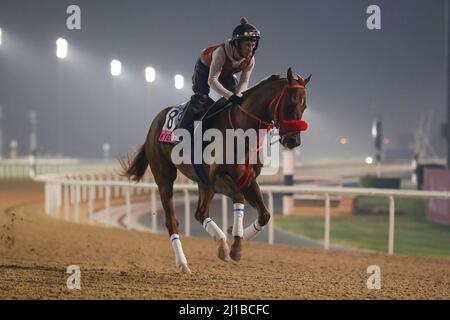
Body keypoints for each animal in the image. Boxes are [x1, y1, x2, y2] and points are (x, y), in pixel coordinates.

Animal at [120, 67, 310, 272]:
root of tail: (155, 121)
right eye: (291, 102)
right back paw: (183, 264)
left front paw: (235, 235)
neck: (242, 132)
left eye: (305, 106)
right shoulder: (219, 179)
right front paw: (236, 244)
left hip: (203, 182)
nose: (293, 141)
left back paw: (221, 244)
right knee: (172, 221)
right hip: (165, 177)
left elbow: (265, 215)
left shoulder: (247, 180)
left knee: (200, 213)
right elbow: (239, 198)